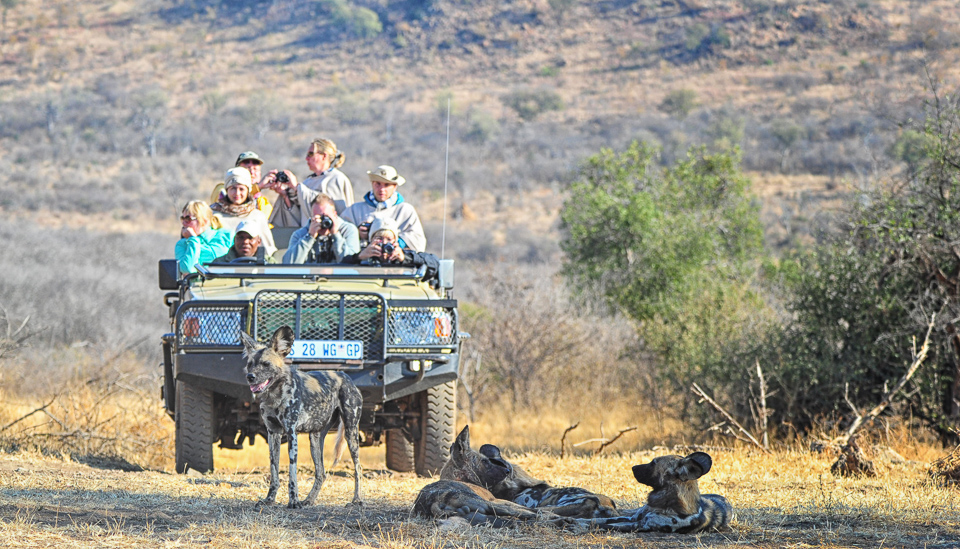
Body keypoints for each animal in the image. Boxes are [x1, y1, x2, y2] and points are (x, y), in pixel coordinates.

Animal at [240, 326, 364, 510]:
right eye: (249, 365)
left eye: (266, 364)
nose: (250, 377)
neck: (274, 396)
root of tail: (345, 375)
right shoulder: (273, 434)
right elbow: (274, 472)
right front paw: (270, 499)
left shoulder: (292, 433)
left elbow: (292, 473)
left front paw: (293, 501)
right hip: (315, 439)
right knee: (321, 473)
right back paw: (309, 500)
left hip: (351, 433)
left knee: (358, 468)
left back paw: (357, 499)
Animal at [412, 424, 568, 528]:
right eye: (485, 461)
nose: (507, 470)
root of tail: (434, 500)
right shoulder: (501, 501)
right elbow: (535, 509)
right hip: (490, 505)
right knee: (531, 515)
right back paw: (563, 520)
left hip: (484, 516)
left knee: (518, 521)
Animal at [584, 450, 736, 532]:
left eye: (653, 463)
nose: (632, 467)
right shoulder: (635, 518)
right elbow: (598, 520)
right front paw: (580, 521)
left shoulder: (640, 524)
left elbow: (603, 524)